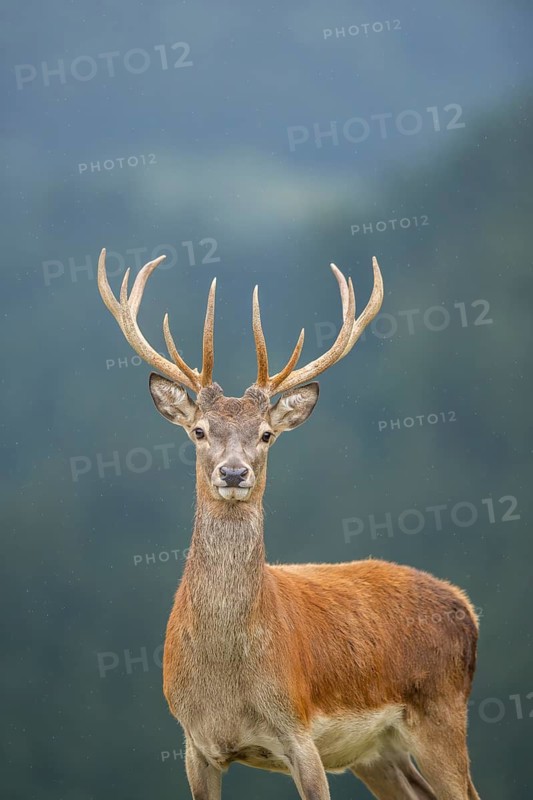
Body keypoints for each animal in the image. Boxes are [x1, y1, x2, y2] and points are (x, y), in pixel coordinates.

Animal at [97, 247, 481, 800]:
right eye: (199, 431)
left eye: (265, 435)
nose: (234, 473)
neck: (228, 684)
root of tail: (467, 606)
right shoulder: (195, 744)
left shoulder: (300, 734)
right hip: (379, 752)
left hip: (442, 712)